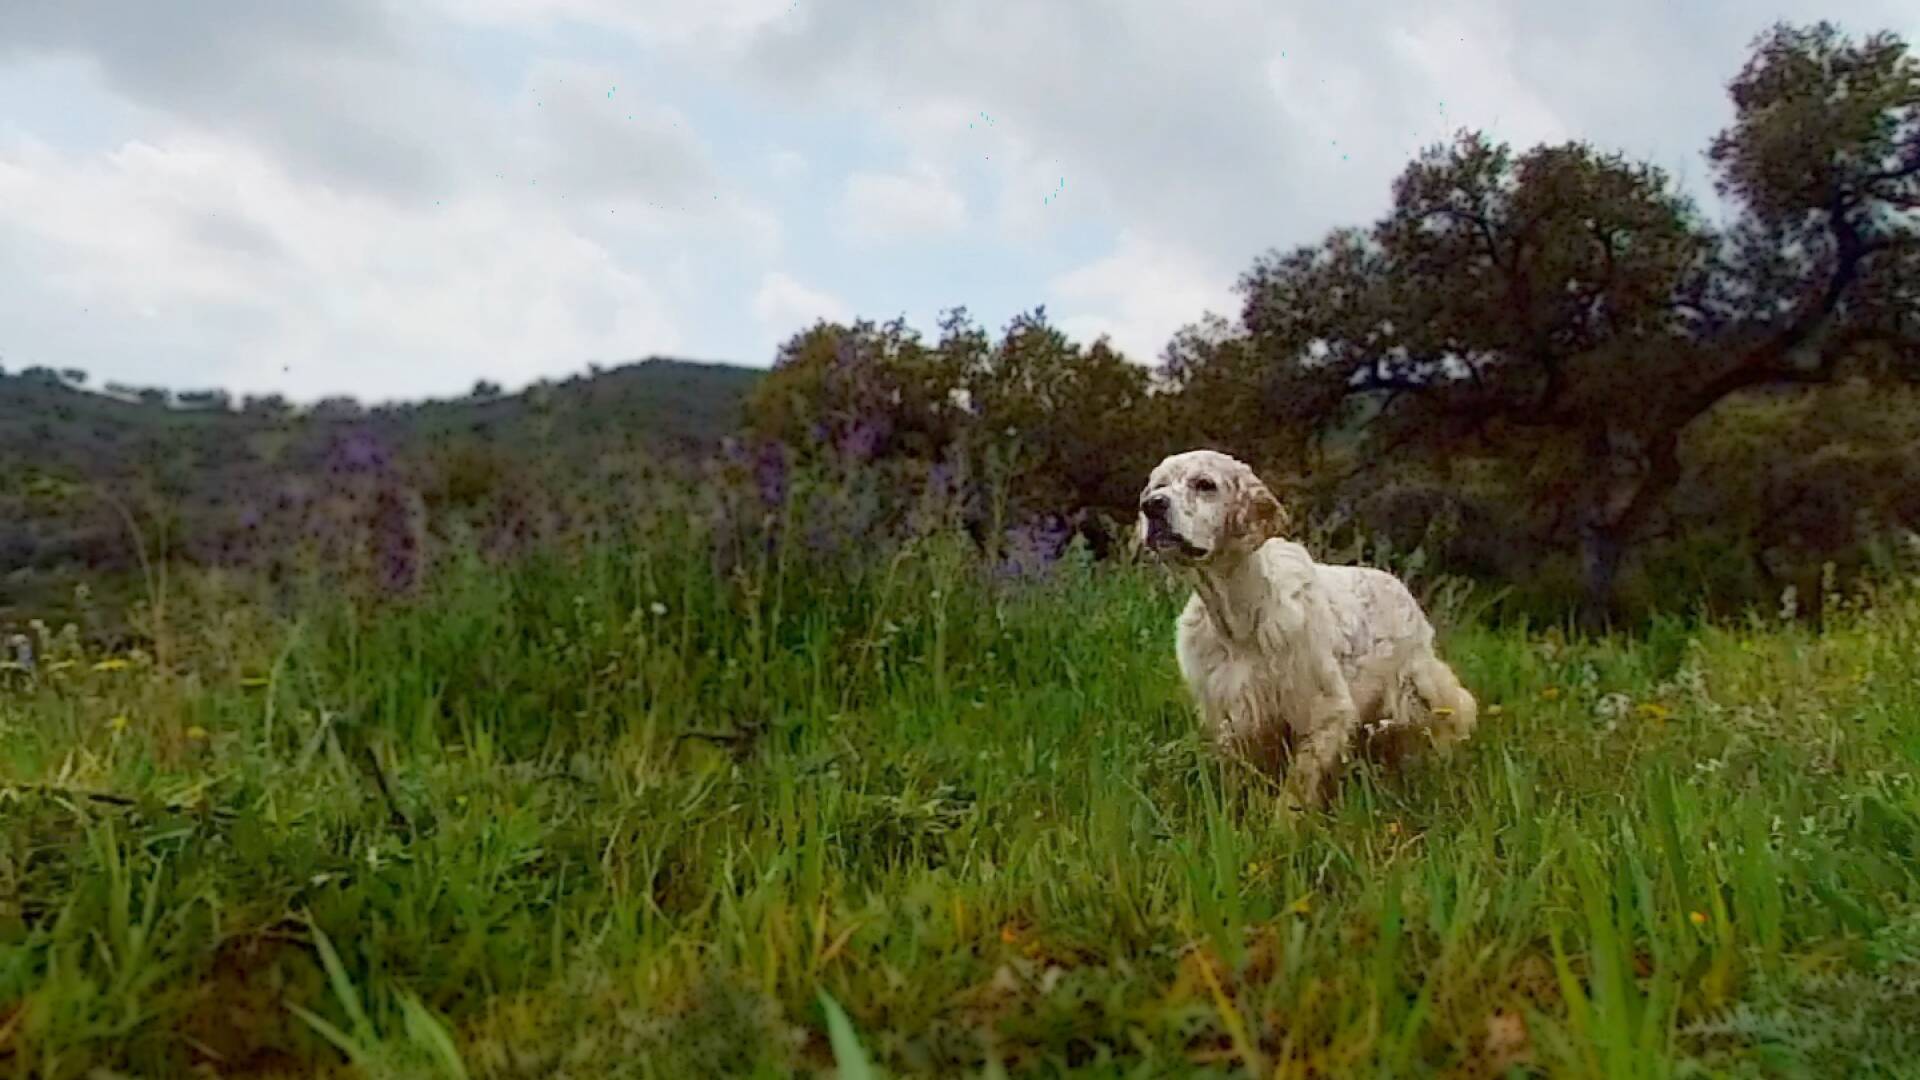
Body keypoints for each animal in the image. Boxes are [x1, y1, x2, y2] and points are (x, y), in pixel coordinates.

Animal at [1136, 447, 1482, 807]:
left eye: (1205, 484)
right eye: (1158, 486)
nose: (1152, 506)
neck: (1241, 618)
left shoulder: (1325, 711)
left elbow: (1296, 790)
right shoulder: (1234, 717)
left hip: (1422, 698)